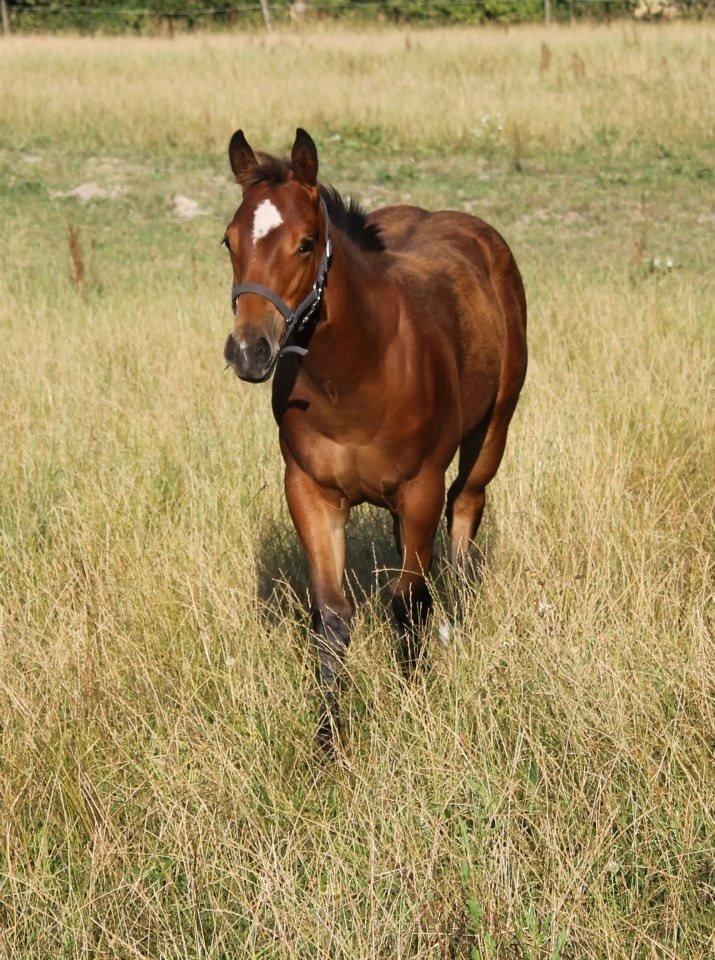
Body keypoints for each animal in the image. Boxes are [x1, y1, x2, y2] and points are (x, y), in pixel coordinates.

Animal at [221, 127, 528, 752]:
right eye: (228, 240)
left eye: (307, 243)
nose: (249, 351)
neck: (359, 372)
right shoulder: (310, 492)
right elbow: (332, 617)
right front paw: (327, 740)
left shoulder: (419, 486)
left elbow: (408, 604)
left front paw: (413, 707)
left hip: (493, 430)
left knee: (466, 505)